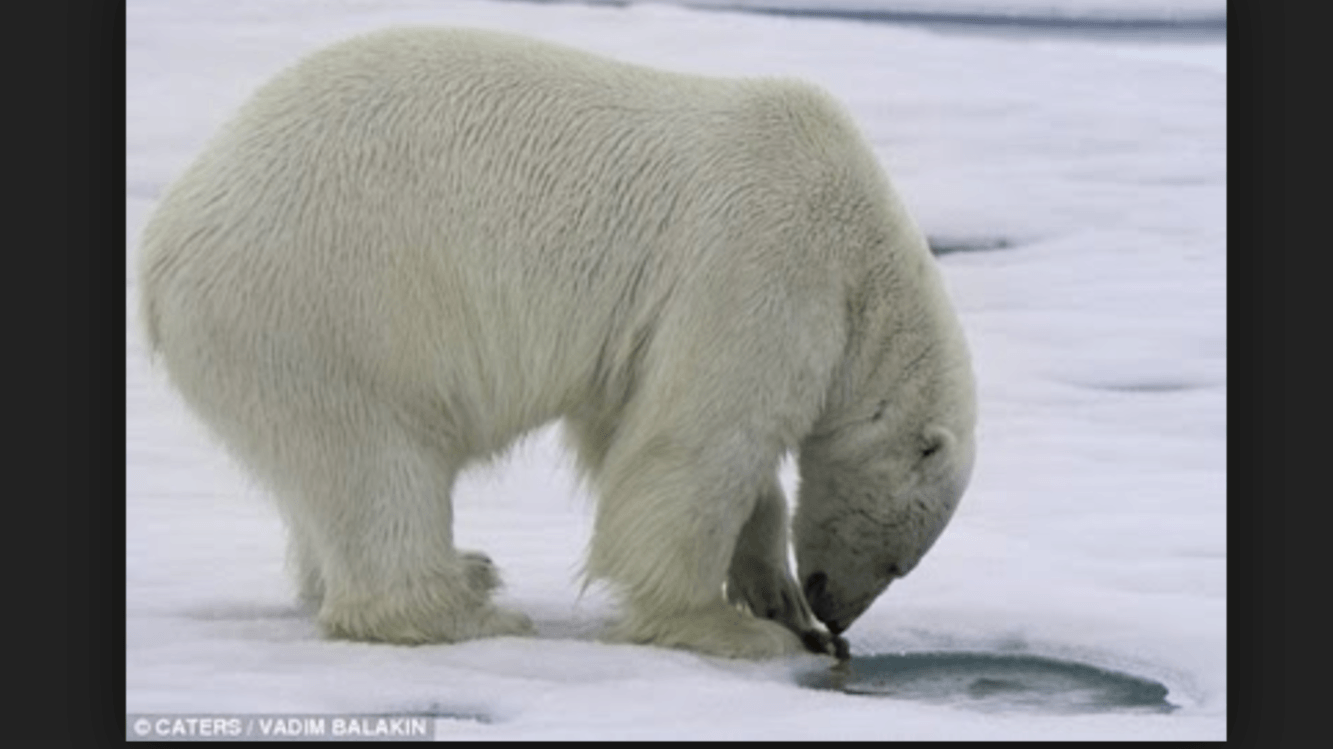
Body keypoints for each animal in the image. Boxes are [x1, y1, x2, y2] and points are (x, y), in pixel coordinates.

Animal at [137, 26, 981, 655]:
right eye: (901, 559)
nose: (836, 611)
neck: (862, 255)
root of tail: (162, 248)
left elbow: (628, 424)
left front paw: (769, 593)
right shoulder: (761, 264)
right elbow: (697, 444)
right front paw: (727, 626)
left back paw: (462, 570)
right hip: (331, 307)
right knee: (375, 462)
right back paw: (465, 605)